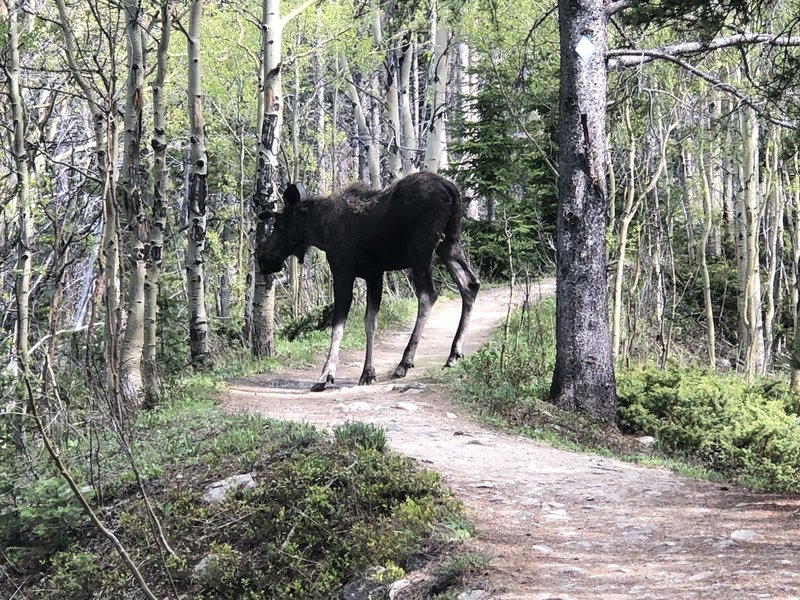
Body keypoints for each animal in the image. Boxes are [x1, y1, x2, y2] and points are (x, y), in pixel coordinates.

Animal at [260, 171, 478, 392]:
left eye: (278, 226)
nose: (264, 259)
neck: (321, 232)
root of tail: (450, 190)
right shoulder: (374, 274)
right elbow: (370, 322)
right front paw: (367, 372)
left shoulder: (343, 272)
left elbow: (338, 324)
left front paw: (326, 374)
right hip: (449, 243)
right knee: (469, 284)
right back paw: (453, 354)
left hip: (422, 250)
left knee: (428, 295)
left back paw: (404, 362)